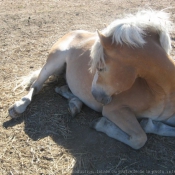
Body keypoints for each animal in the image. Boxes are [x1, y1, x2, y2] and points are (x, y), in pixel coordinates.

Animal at [8, 9, 175, 149]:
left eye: (100, 68)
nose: (94, 94)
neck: (160, 93)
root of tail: (74, 32)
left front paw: (151, 124)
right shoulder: (114, 109)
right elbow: (139, 138)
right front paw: (101, 124)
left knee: (62, 88)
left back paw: (75, 104)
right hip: (53, 63)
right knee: (36, 86)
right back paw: (18, 107)